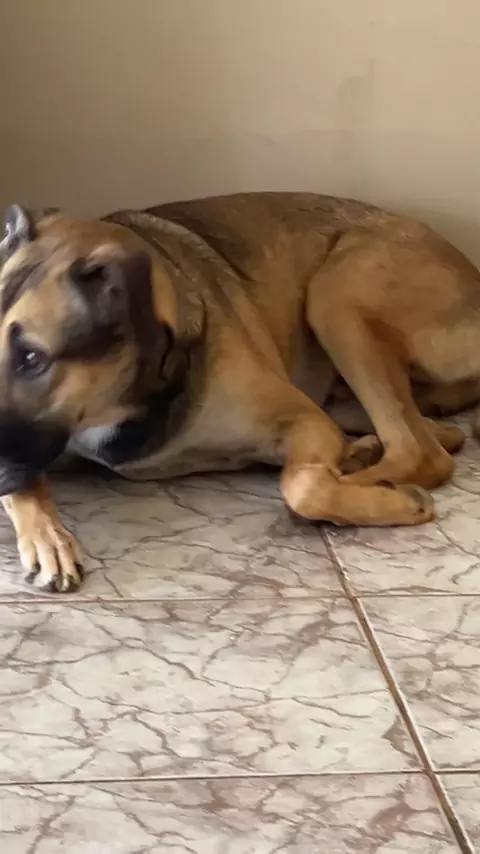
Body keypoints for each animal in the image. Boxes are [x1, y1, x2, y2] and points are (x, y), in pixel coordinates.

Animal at [0, 192, 479, 592]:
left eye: (33, 358)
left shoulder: (302, 419)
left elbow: (303, 488)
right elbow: (28, 482)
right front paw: (46, 536)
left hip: (335, 295)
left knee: (420, 452)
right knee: (435, 434)